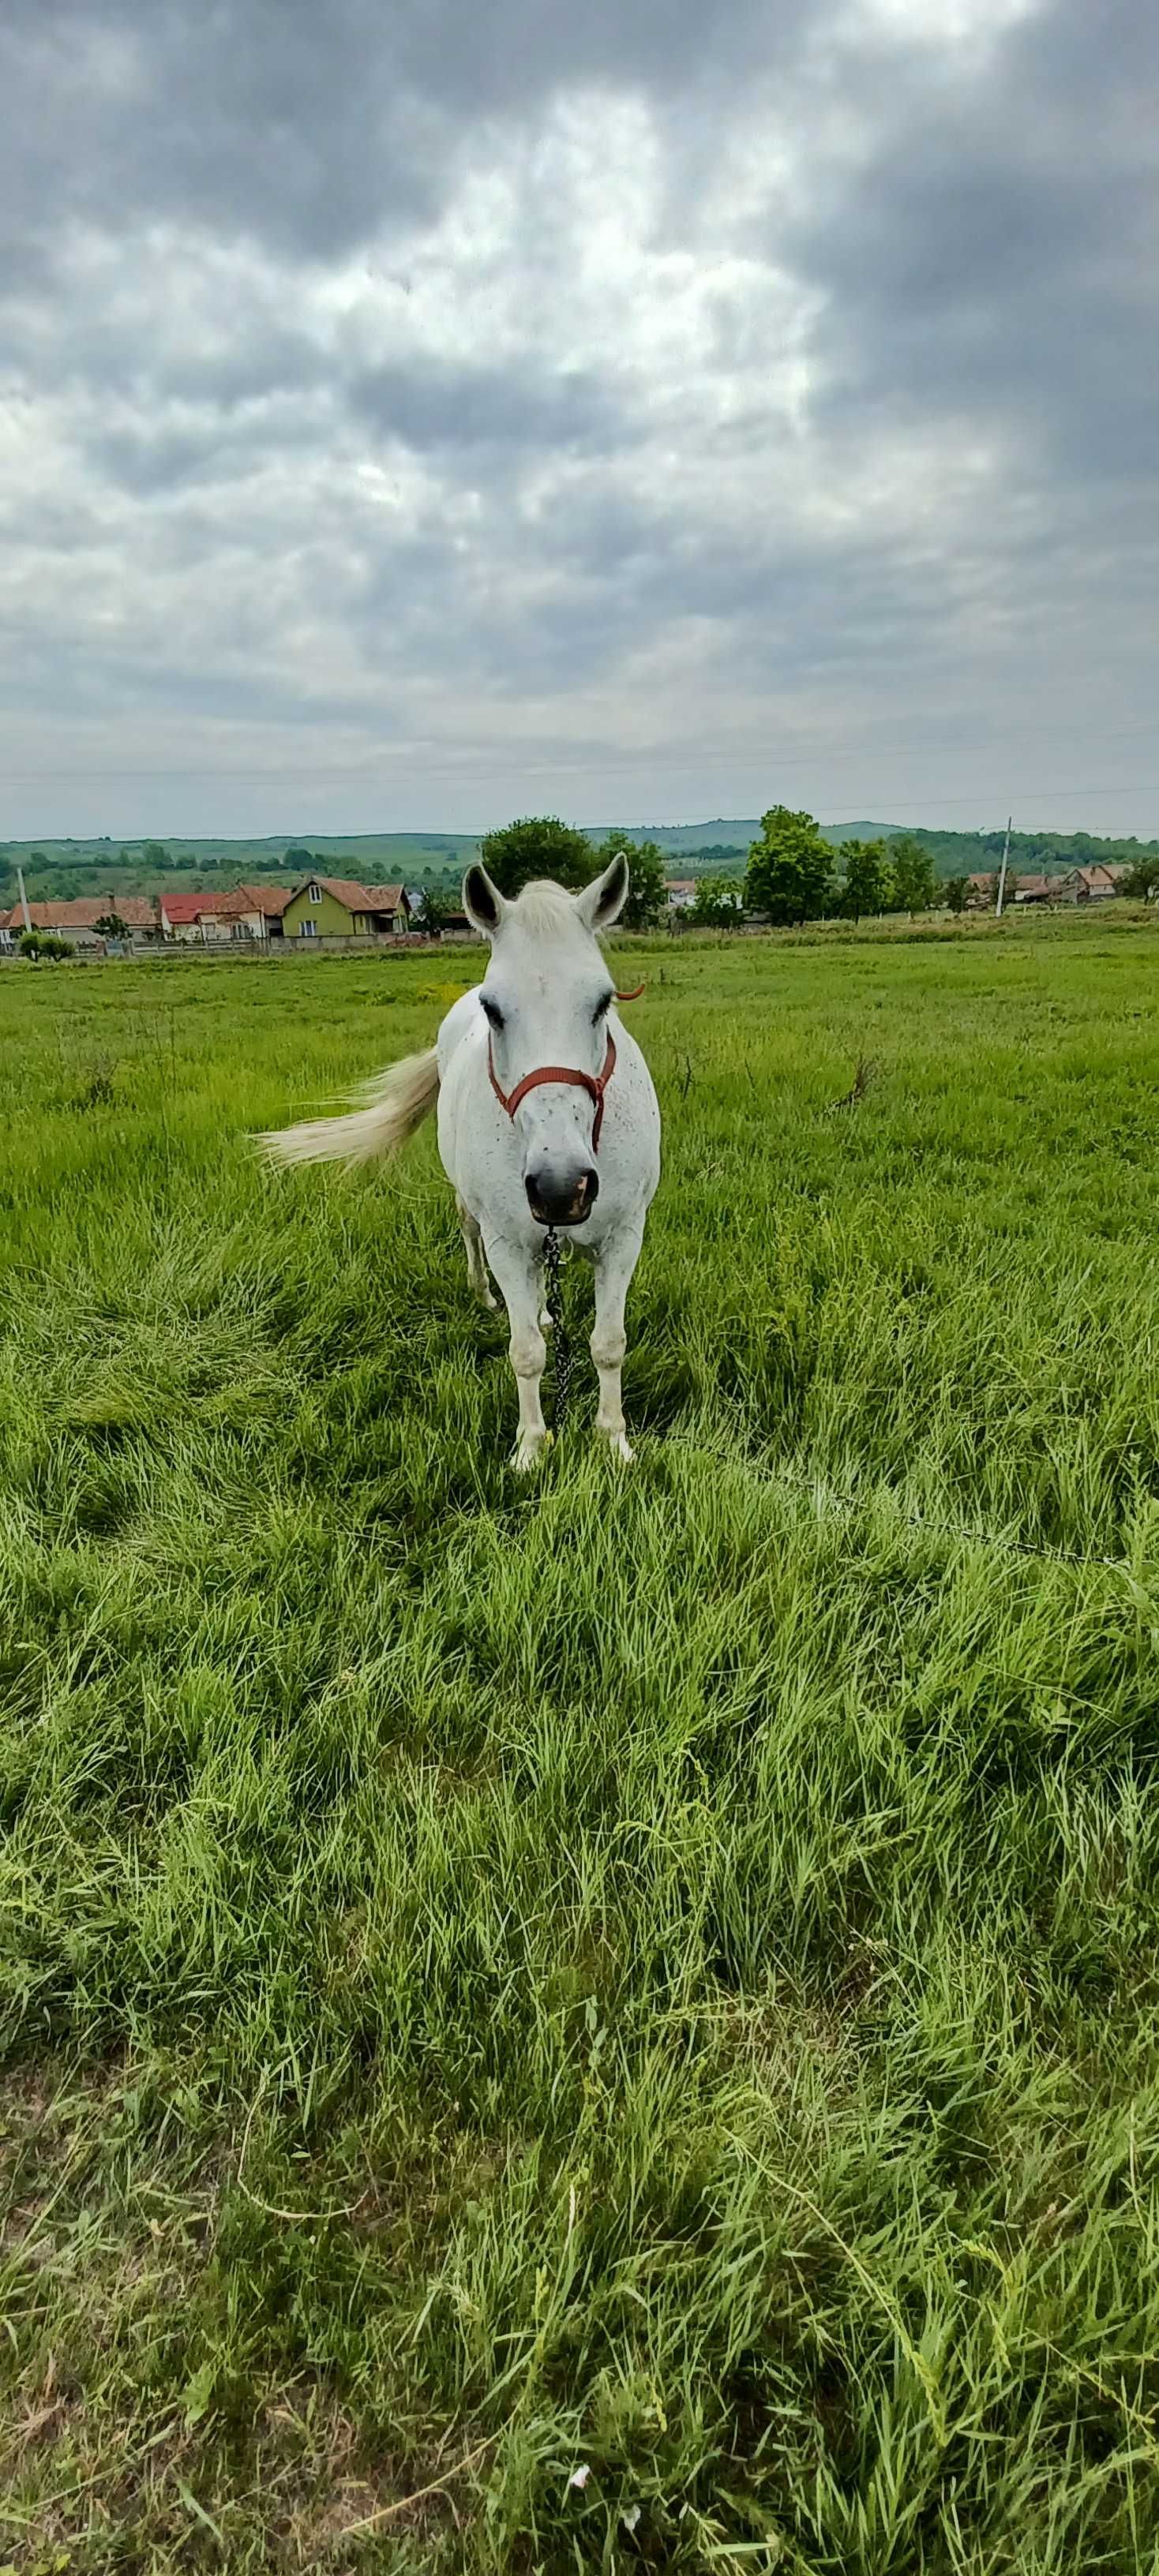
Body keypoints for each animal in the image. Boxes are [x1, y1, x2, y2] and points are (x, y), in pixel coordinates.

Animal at [262, 855, 659, 1473]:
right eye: (492, 1010)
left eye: (603, 1003)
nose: (559, 1186)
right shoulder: (507, 1241)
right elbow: (526, 1353)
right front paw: (530, 1449)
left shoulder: (624, 1237)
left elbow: (609, 1344)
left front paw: (614, 1442)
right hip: (478, 1213)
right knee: (471, 1233)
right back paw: (487, 1295)